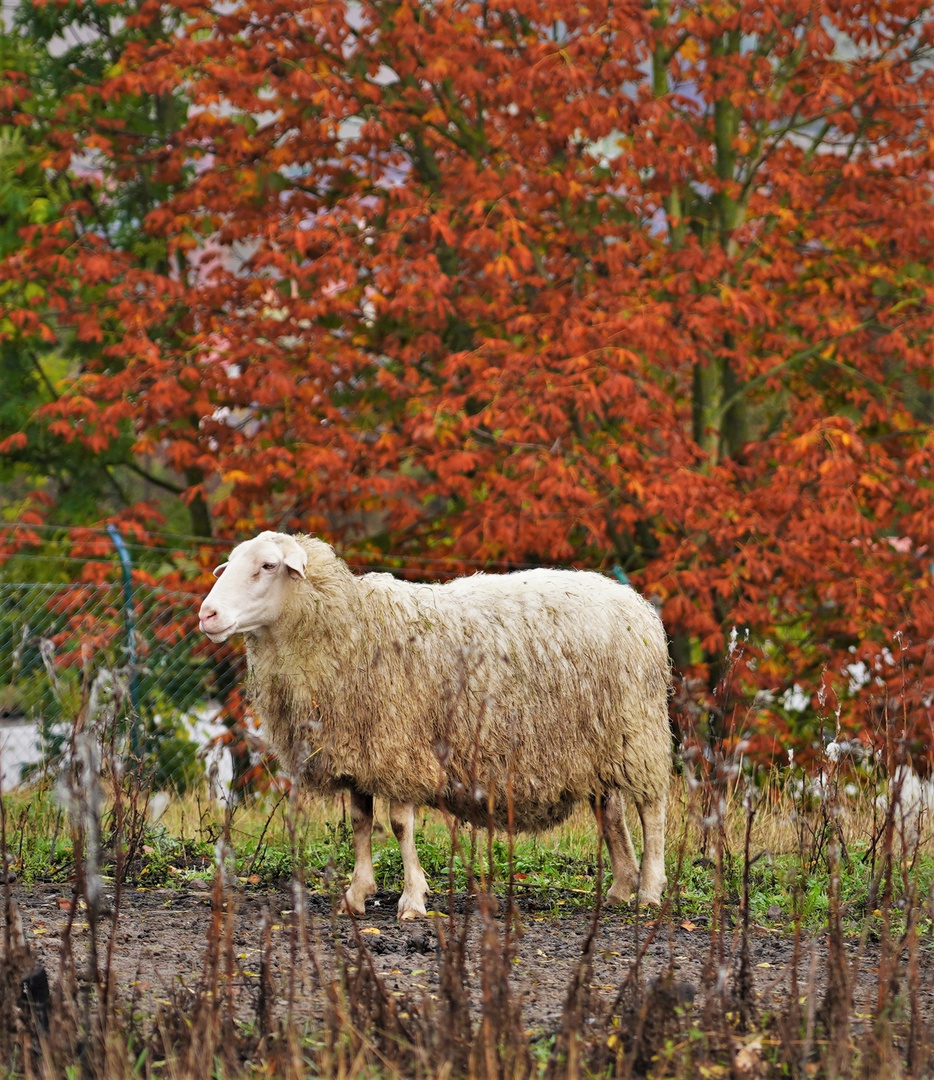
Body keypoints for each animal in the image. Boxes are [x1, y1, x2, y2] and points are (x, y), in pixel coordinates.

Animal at [200, 531, 673, 920]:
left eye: (267, 565)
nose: (207, 614)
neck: (349, 624)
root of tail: (633, 602)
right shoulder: (359, 750)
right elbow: (360, 823)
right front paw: (357, 894)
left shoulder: (400, 747)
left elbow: (399, 826)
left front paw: (412, 899)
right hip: (597, 742)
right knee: (611, 810)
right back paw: (620, 887)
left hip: (638, 732)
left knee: (652, 810)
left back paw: (649, 891)